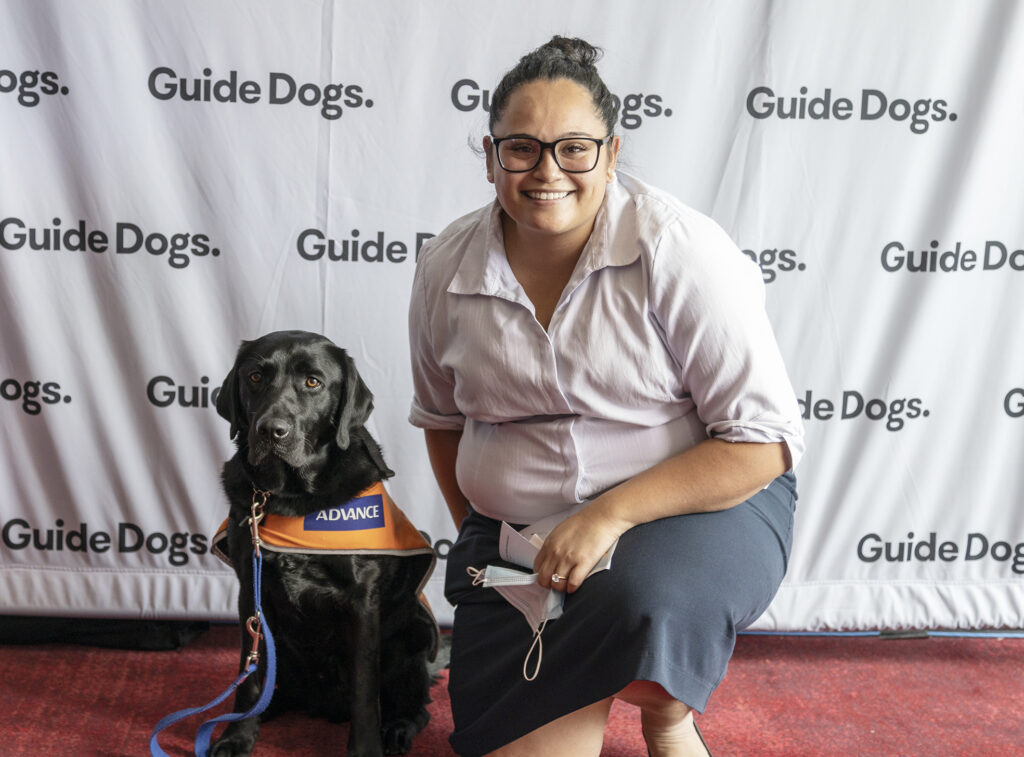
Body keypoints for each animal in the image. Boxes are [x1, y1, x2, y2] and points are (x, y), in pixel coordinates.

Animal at [211, 331, 436, 757]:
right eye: (255, 377)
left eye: (313, 382)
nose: (271, 430)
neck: (291, 498)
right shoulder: (251, 591)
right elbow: (249, 673)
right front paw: (237, 734)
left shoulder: (362, 601)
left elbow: (365, 691)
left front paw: (365, 749)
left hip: (412, 636)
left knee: (418, 705)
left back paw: (397, 730)